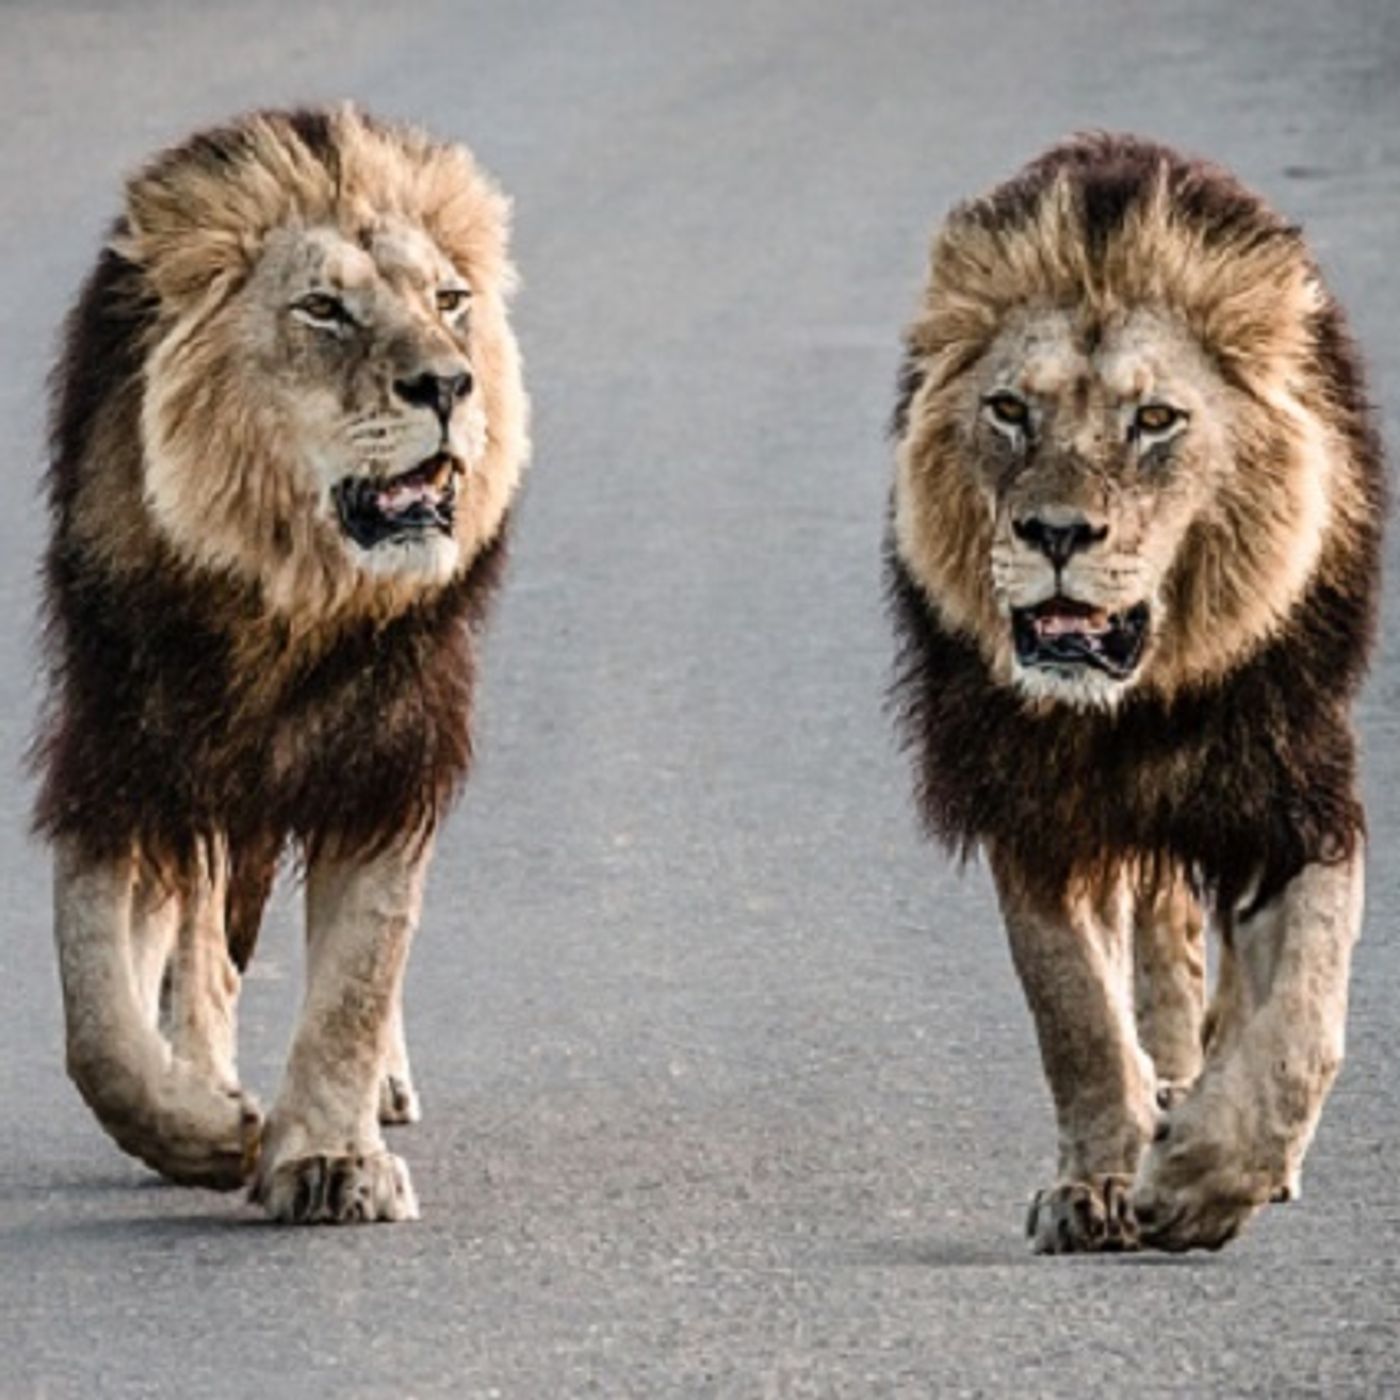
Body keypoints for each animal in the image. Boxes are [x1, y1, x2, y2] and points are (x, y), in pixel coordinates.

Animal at [33, 106, 528, 1223]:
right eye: (322, 309)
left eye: (449, 303)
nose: (448, 382)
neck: (290, 596)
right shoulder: (121, 755)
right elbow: (98, 1019)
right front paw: (204, 1131)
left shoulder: (391, 746)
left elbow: (361, 970)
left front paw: (329, 1158)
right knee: (198, 954)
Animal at [888, 133, 1385, 1252]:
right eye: (1008, 410)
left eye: (1155, 420)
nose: (1056, 534)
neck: (1136, 699)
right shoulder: (1026, 796)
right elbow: (1073, 1007)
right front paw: (1100, 1184)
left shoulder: (1295, 790)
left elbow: (1302, 1022)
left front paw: (1205, 1178)